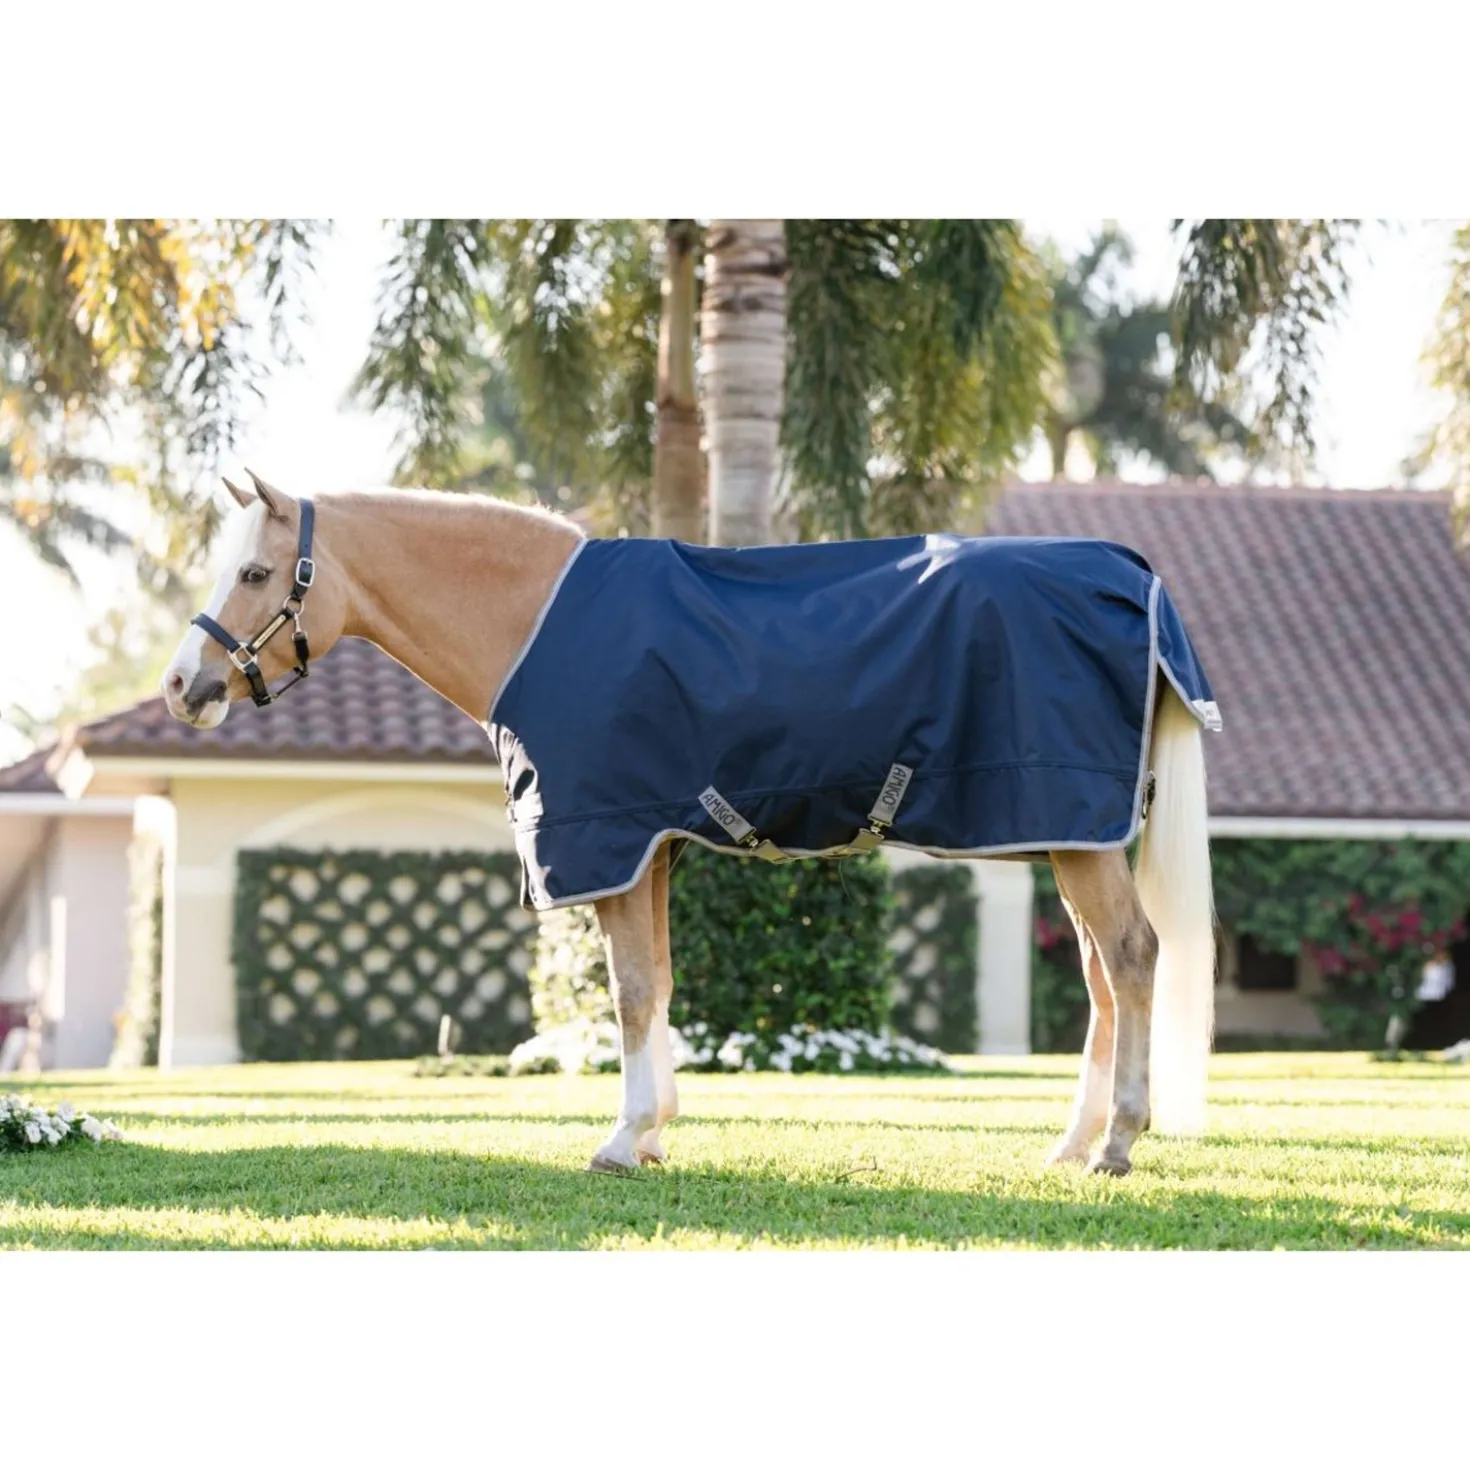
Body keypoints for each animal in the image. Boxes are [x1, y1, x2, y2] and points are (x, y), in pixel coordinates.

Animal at [162, 471, 1218, 1178]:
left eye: (254, 572)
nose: (181, 686)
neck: (536, 622)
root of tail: (1132, 576)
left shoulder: (610, 843)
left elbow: (630, 993)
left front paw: (623, 1137)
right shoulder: (653, 849)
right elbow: (660, 983)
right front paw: (656, 1129)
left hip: (1075, 835)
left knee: (1131, 956)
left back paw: (1118, 1143)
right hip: (1068, 834)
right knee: (1101, 975)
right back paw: (1072, 1142)